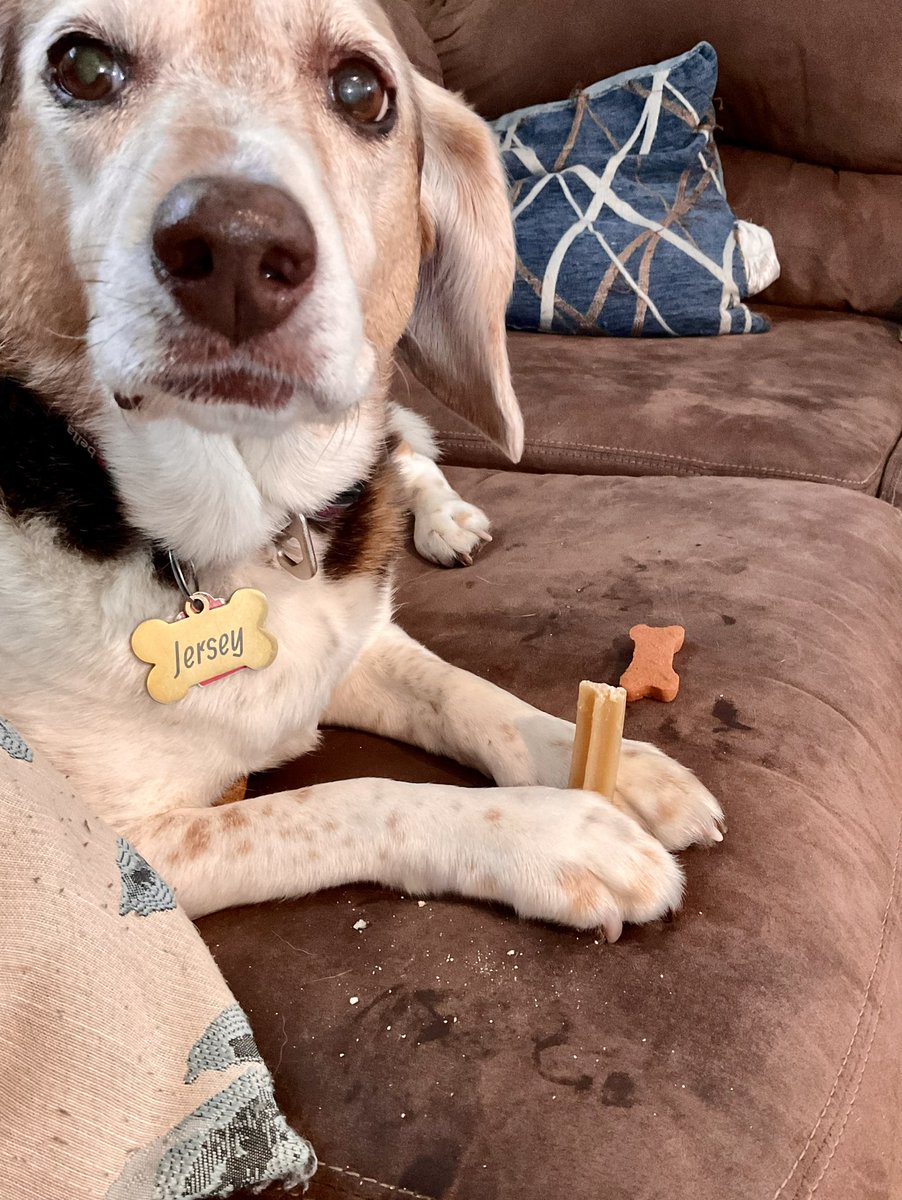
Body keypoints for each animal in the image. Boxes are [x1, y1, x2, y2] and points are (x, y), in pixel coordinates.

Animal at [0, 0, 724, 936]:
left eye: (362, 90)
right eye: (81, 66)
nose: (236, 244)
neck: (245, 534)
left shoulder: (359, 642)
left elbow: (468, 693)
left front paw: (617, 764)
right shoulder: (133, 852)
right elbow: (356, 797)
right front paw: (562, 833)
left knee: (403, 451)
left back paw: (448, 519)